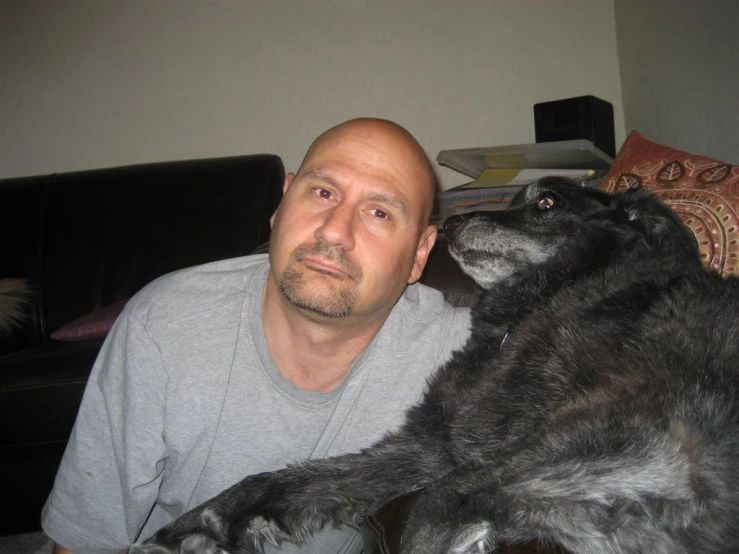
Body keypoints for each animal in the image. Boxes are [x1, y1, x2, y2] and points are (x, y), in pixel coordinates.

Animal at [134, 179, 739, 548]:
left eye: (546, 203)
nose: (449, 225)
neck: (546, 301)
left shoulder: (613, 450)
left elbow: (430, 512)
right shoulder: (432, 443)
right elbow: (277, 480)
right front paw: (184, 530)